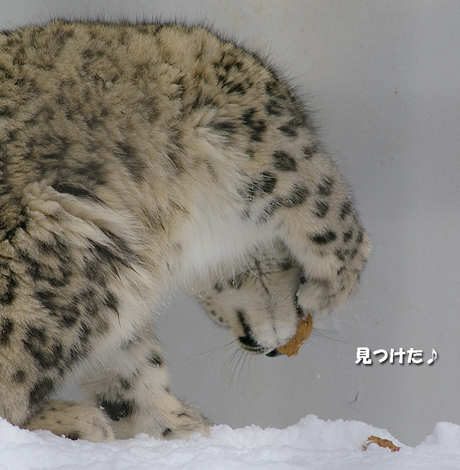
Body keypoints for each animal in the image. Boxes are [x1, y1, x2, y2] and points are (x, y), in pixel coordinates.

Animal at [0, 20, 371, 442]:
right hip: (73, 242)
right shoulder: (271, 139)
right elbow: (327, 201)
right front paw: (333, 285)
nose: (268, 350)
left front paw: (179, 426)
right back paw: (77, 421)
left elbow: (133, 361)